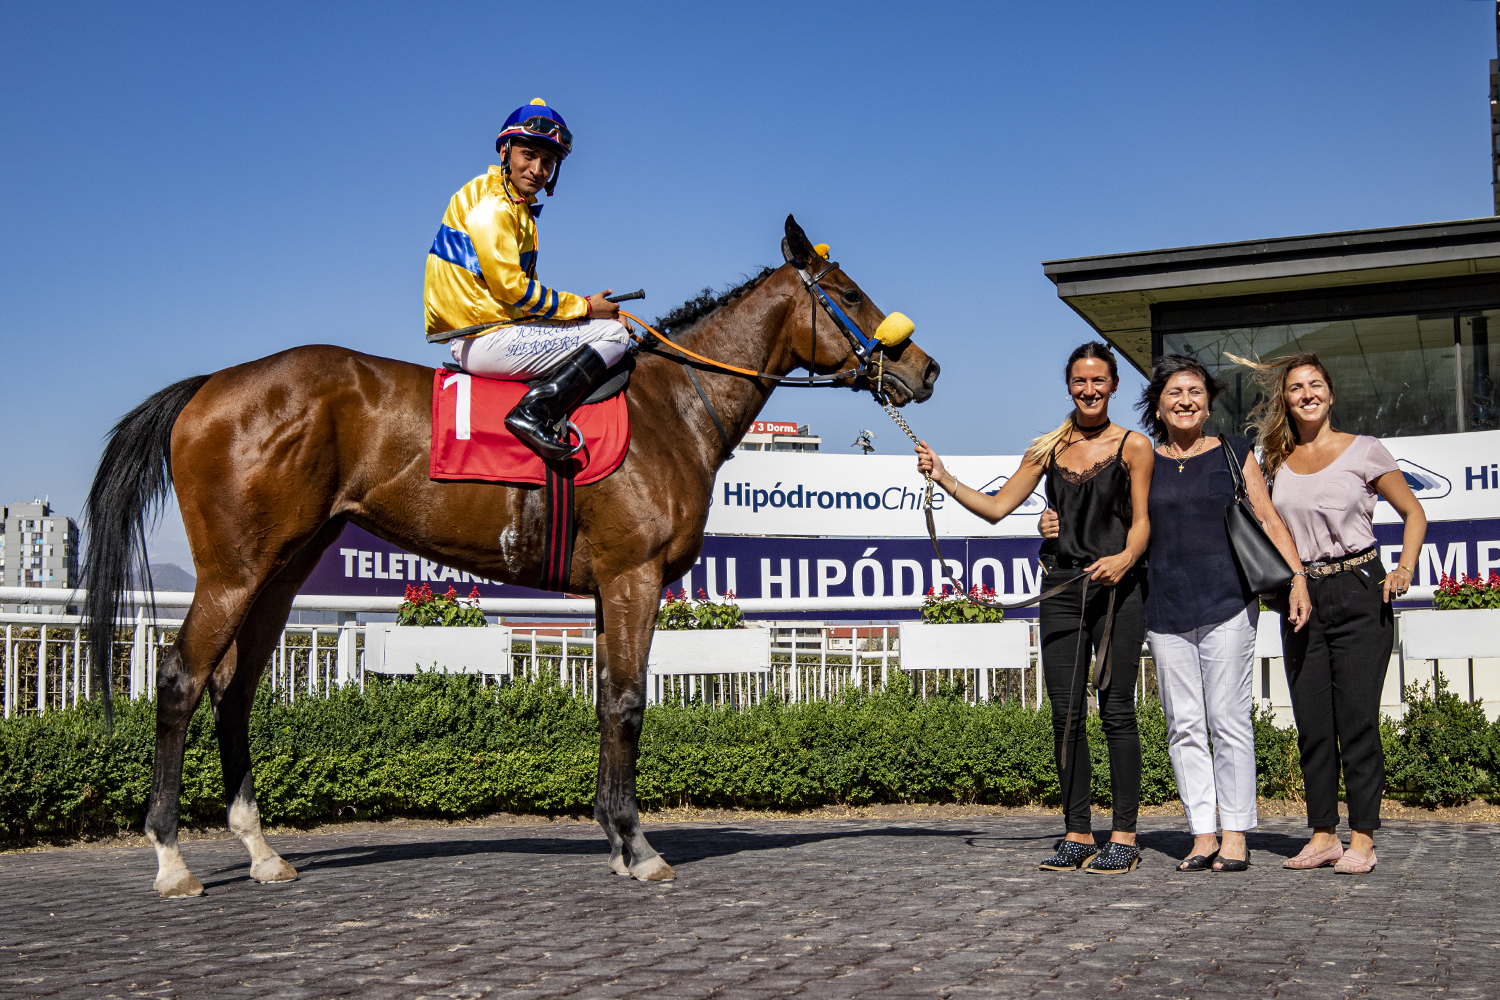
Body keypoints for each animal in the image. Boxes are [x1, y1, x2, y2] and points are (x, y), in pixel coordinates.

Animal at [83, 215, 940, 898]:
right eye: (850, 293)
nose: (924, 368)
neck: (670, 408)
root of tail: (211, 386)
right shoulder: (634, 576)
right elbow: (628, 704)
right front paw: (640, 848)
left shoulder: (608, 588)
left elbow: (606, 701)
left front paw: (616, 839)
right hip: (234, 570)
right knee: (181, 680)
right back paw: (170, 859)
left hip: (283, 569)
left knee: (234, 691)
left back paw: (262, 852)